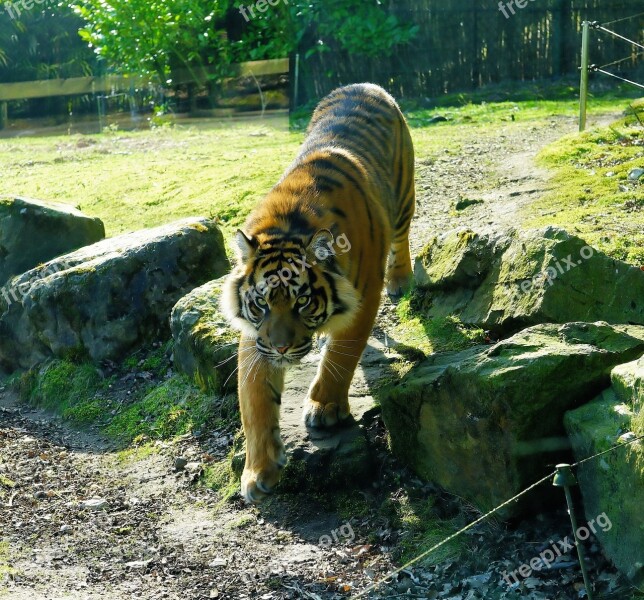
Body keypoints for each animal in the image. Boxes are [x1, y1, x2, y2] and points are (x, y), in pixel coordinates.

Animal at [221, 81, 416, 502]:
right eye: (261, 304)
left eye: (302, 302)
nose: (280, 348)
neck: (288, 222)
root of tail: (366, 84)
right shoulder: (255, 335)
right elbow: (254, 399)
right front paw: (257, 472)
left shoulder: (364, 297)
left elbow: (342, 355)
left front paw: (325, 408)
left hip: (403, 198)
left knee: (403, 236)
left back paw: (401, 279)